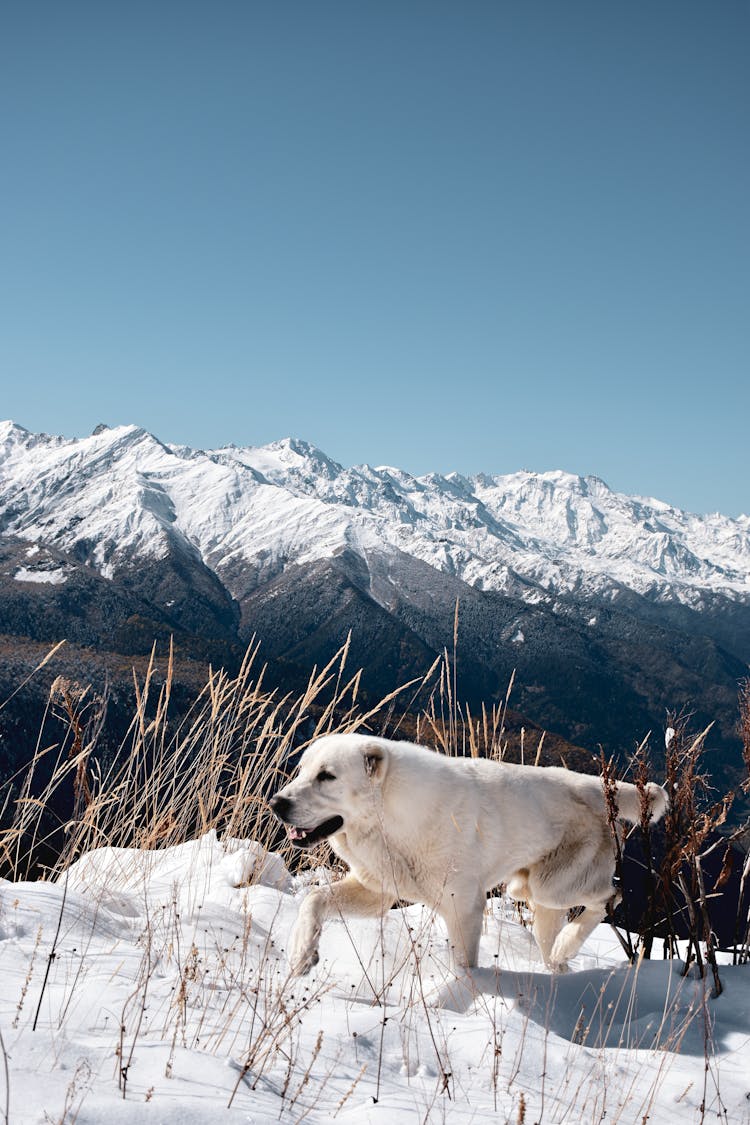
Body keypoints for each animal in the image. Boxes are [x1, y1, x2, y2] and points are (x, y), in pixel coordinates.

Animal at [270, 733, 670, 972]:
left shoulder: (463, 909)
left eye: (327, 776)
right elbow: (314, 900)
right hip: (532, 891)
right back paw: (558, 961)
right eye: (302, 770)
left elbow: (464, 963)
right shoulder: (377, 891)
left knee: (611, 895)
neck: (393, 818)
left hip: (556, 886)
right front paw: (302, 952)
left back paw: (567, 945)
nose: (276, 803)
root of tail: (595, 787)